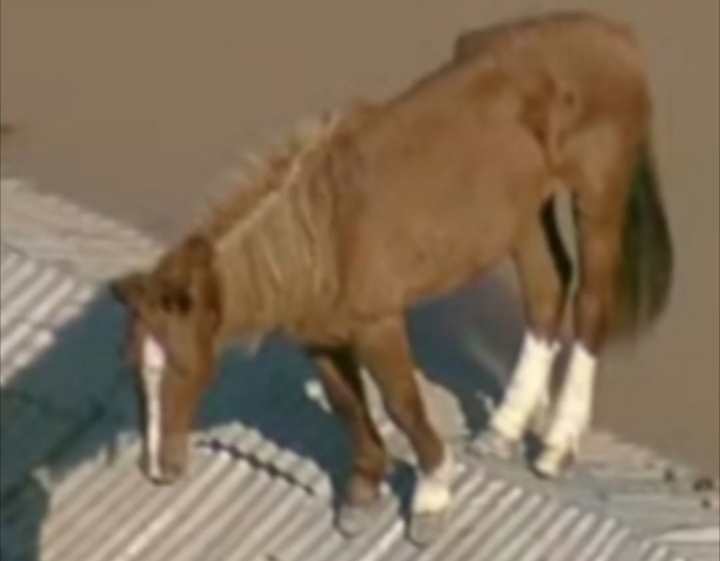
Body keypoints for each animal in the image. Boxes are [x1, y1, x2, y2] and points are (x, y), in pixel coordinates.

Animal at [111, 11, 673, 546]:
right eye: (134, 370)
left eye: (182, 367)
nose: (157, 470)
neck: (322, 236)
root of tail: (616, 34)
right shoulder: (320, 337)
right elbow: (347, 406)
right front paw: (362, 493)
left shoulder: (378, 325)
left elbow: (401, 404)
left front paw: (431, 497)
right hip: (524, 213)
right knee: (546, 292)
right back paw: (503, 429)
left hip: (597, 198)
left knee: (591, 305)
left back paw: (556, 447)